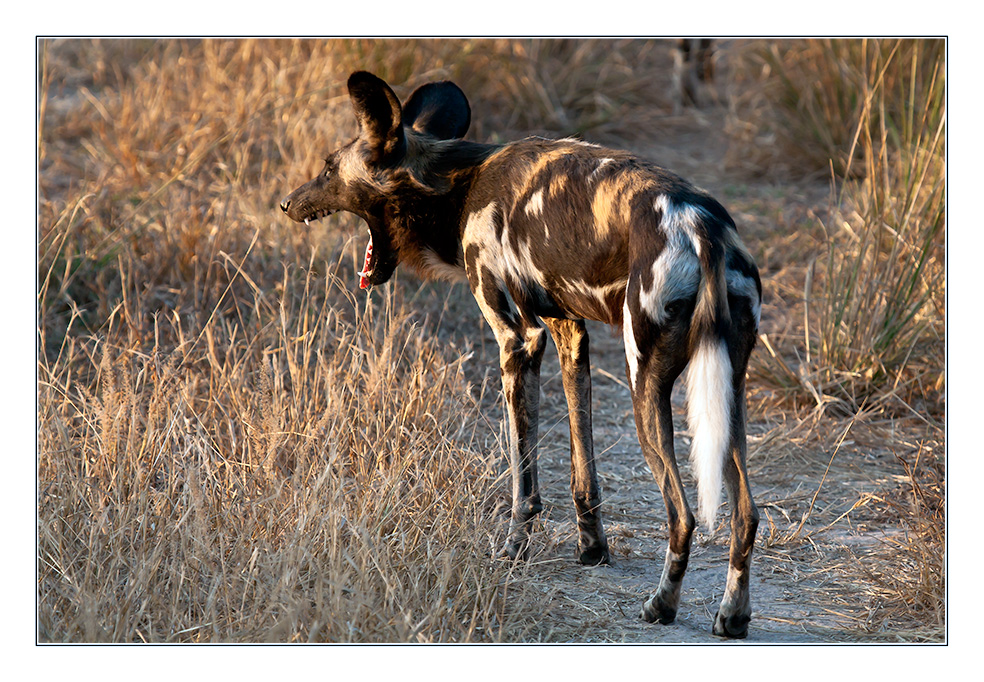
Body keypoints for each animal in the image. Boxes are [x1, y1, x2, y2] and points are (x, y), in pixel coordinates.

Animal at [280, 70, 764, 636]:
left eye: (329, 168)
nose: (287, 203)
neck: (456, 185)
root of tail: (699, 225)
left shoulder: (518, 339)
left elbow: (522, 478)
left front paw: (512, 549)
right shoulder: (568, 332)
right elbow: (583, 471)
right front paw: (592, 550)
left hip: (645, 382)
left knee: (682, 513)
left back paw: (661, 606)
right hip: (727, 394)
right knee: (746, 513)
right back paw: (732, 615)